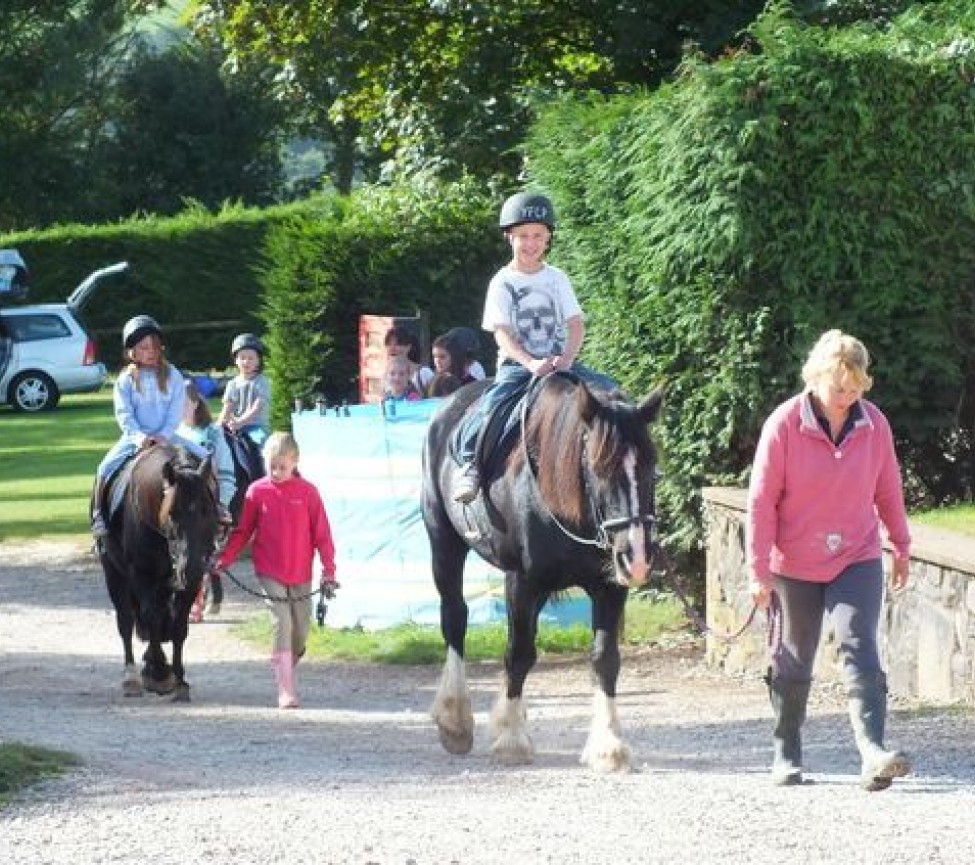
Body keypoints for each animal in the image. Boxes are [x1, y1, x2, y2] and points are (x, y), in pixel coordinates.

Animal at [98, 442, 220, 700]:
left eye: (208, 511)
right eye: (172, 513)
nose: (190, 567)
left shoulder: (191, 581)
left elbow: (179, 625)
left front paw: (180, 680)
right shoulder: (142, 574)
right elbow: (151, 617)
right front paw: (159, 673)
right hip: (113, 571)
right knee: (126, 620)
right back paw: (132, 677)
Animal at [422, 372, 664, 768]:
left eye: (650, 468)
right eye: (599, 467)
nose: (638, 555)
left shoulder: (610, 587)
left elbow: (605, 659)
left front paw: (608, 744)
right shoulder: (522, 582)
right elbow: (519, 653)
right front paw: (512, 740)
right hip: (444, 541)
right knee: (455, 618)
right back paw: (455, 719)